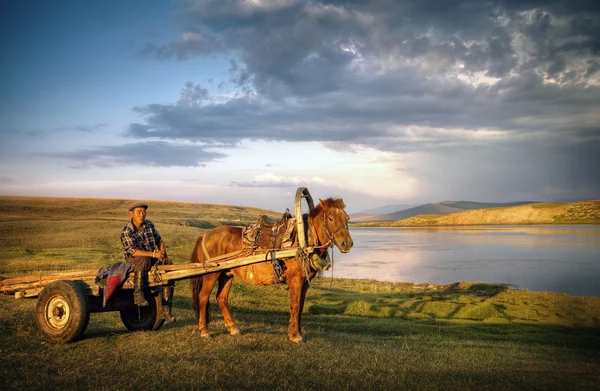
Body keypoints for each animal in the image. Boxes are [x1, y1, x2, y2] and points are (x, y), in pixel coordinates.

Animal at [191, 199, 352, 344]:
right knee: (203, 297)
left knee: (221, 298)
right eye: (330, 218)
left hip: (226, 274)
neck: (302, 242)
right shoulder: (295, 281)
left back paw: (233, 328)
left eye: (347, 218)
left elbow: (300, 307)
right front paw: (295, 335)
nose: (347, 244)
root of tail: (204, 235)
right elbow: (294, 306)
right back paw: (204, 331)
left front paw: (297, 332)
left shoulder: (305, 283)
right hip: (211, 274)